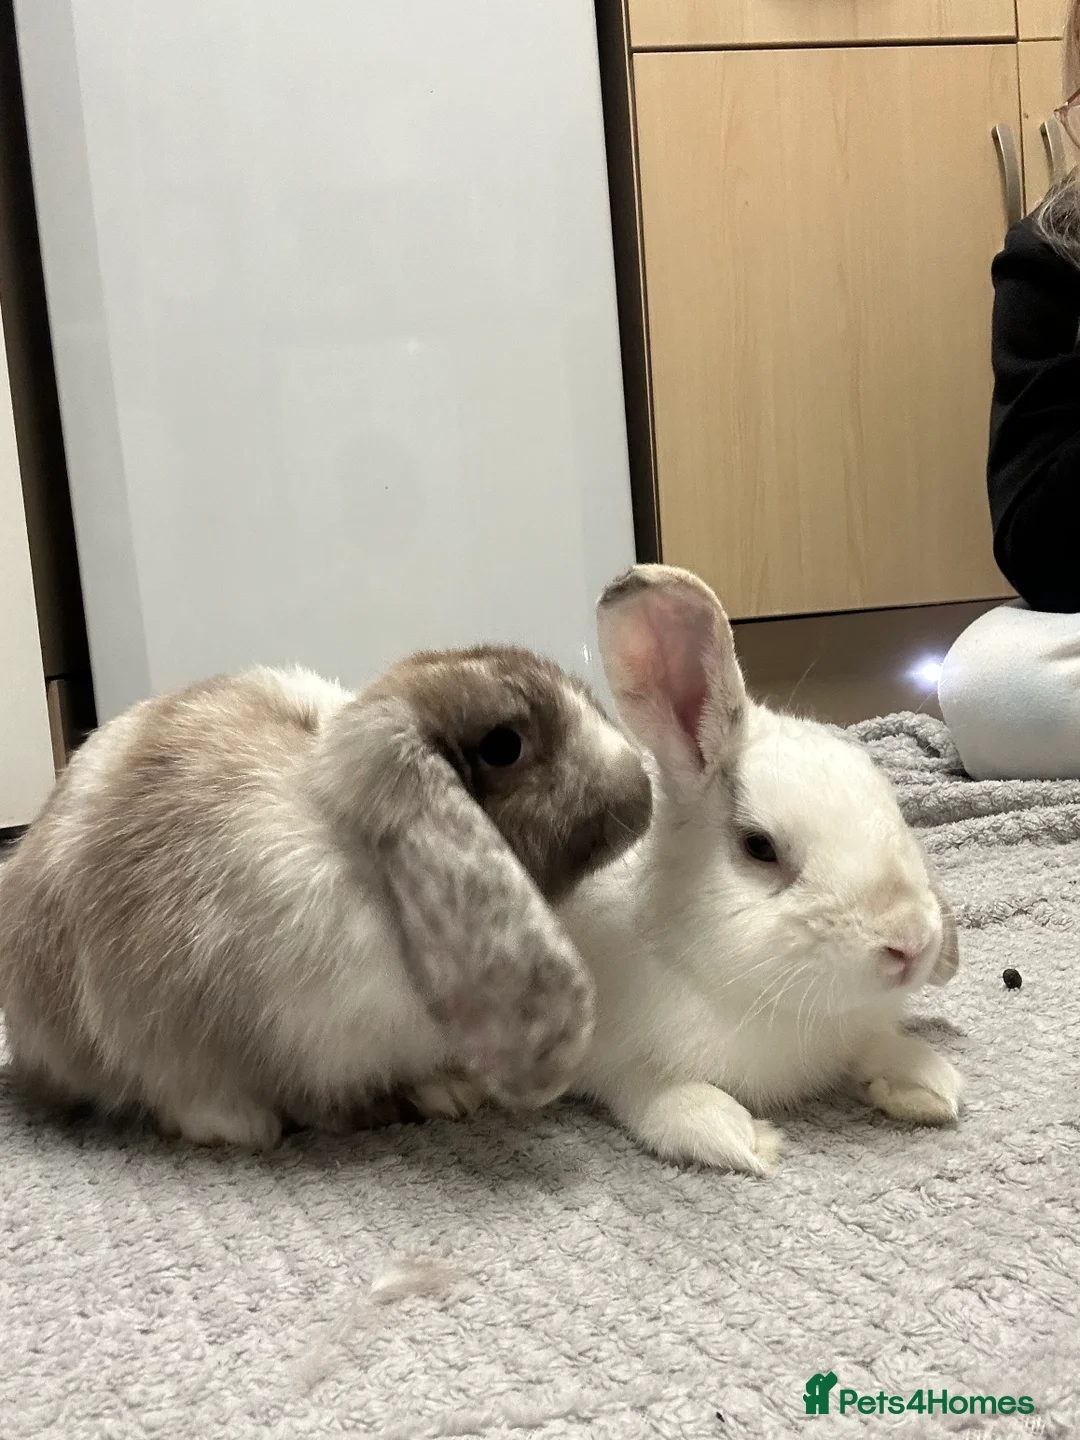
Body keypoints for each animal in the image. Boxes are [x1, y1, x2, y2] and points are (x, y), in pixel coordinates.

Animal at [557, 564, 962, 1176]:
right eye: (759, 847)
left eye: (891, 801)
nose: (911, 943)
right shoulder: (620, 1064)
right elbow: (659, 1096)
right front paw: (742, 1138)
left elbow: (875, 1048)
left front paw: (927, 1082)